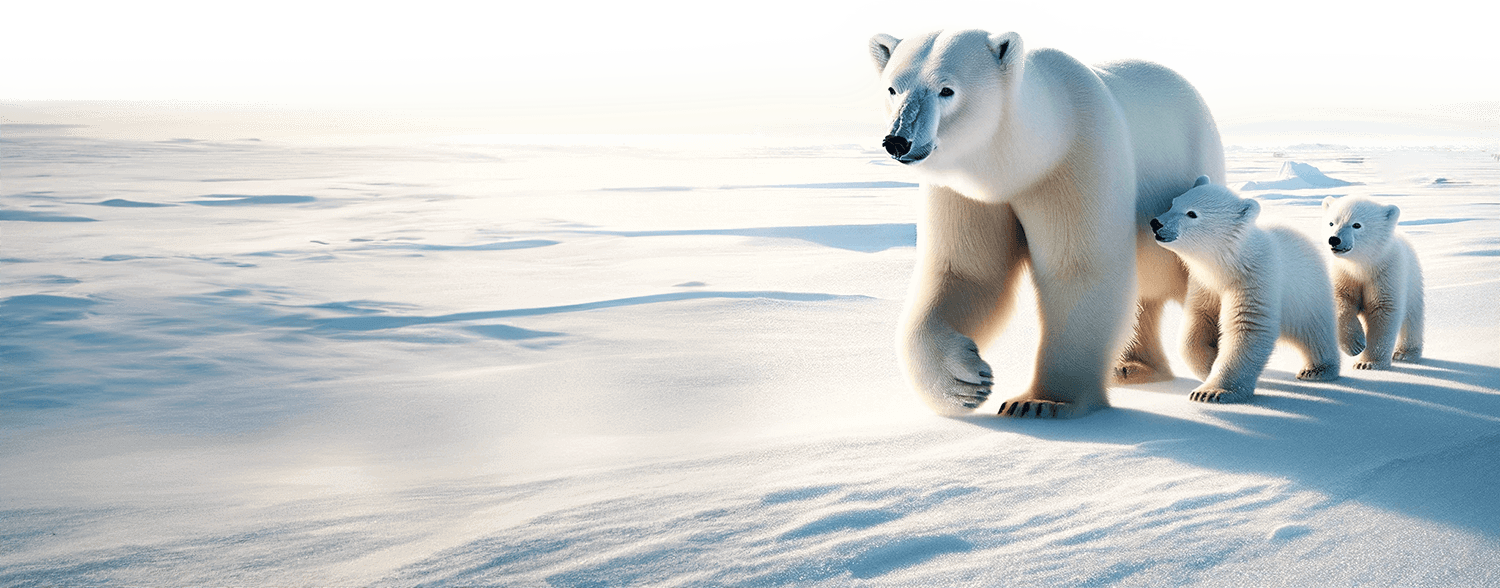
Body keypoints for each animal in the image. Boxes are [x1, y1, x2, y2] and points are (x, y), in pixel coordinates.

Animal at [876, 28, 1224, 417]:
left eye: (946, 89)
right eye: (893, 88)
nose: (898, 140)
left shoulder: (1073, 163)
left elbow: (1077, 270)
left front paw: (1039, 402)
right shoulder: (970, 193)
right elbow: (966, 272)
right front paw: (963, 382)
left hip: (1188, 174)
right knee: (1148, 289)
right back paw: (1131, 366)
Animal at [1152, 177, 1344, 402]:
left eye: (1192, 213)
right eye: (1173, 203)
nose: (1156, 222)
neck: (1231, 263)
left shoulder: (1253, 279)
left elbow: (1246, 327)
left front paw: (1211, 392)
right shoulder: (1205, 285)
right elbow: (1196, 325)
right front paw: (1208, 365)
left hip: (1307, 291)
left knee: (1315, 330)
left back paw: (1317, 369)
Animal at [1326, 195, 1428, 370]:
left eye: (1357, 224)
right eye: (1332, 223)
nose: (1334, 239)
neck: (1363, 266)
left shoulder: (1386, 273)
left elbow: (1382, 311)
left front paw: (1367, 363)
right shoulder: (1344, 274)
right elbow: (1340, 301)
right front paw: (1356, 345)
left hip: (1412, 280)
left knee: (1412, 318)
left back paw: (1405, 353)